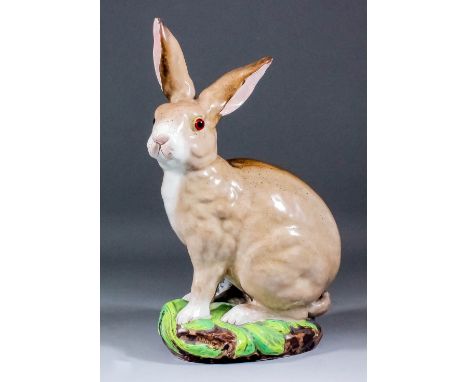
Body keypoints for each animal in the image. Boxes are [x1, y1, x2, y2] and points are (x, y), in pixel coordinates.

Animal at [147, 17, 340, 322]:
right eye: (156, 116)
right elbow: (213, 283)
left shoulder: (210, 246)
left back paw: (240, 315)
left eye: (199, 124)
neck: (195, 171)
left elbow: (203, 280)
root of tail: (319, 292)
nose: (160, 140)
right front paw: (192, 300)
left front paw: (190, 314)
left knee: (293, 314)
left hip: (261, 267)